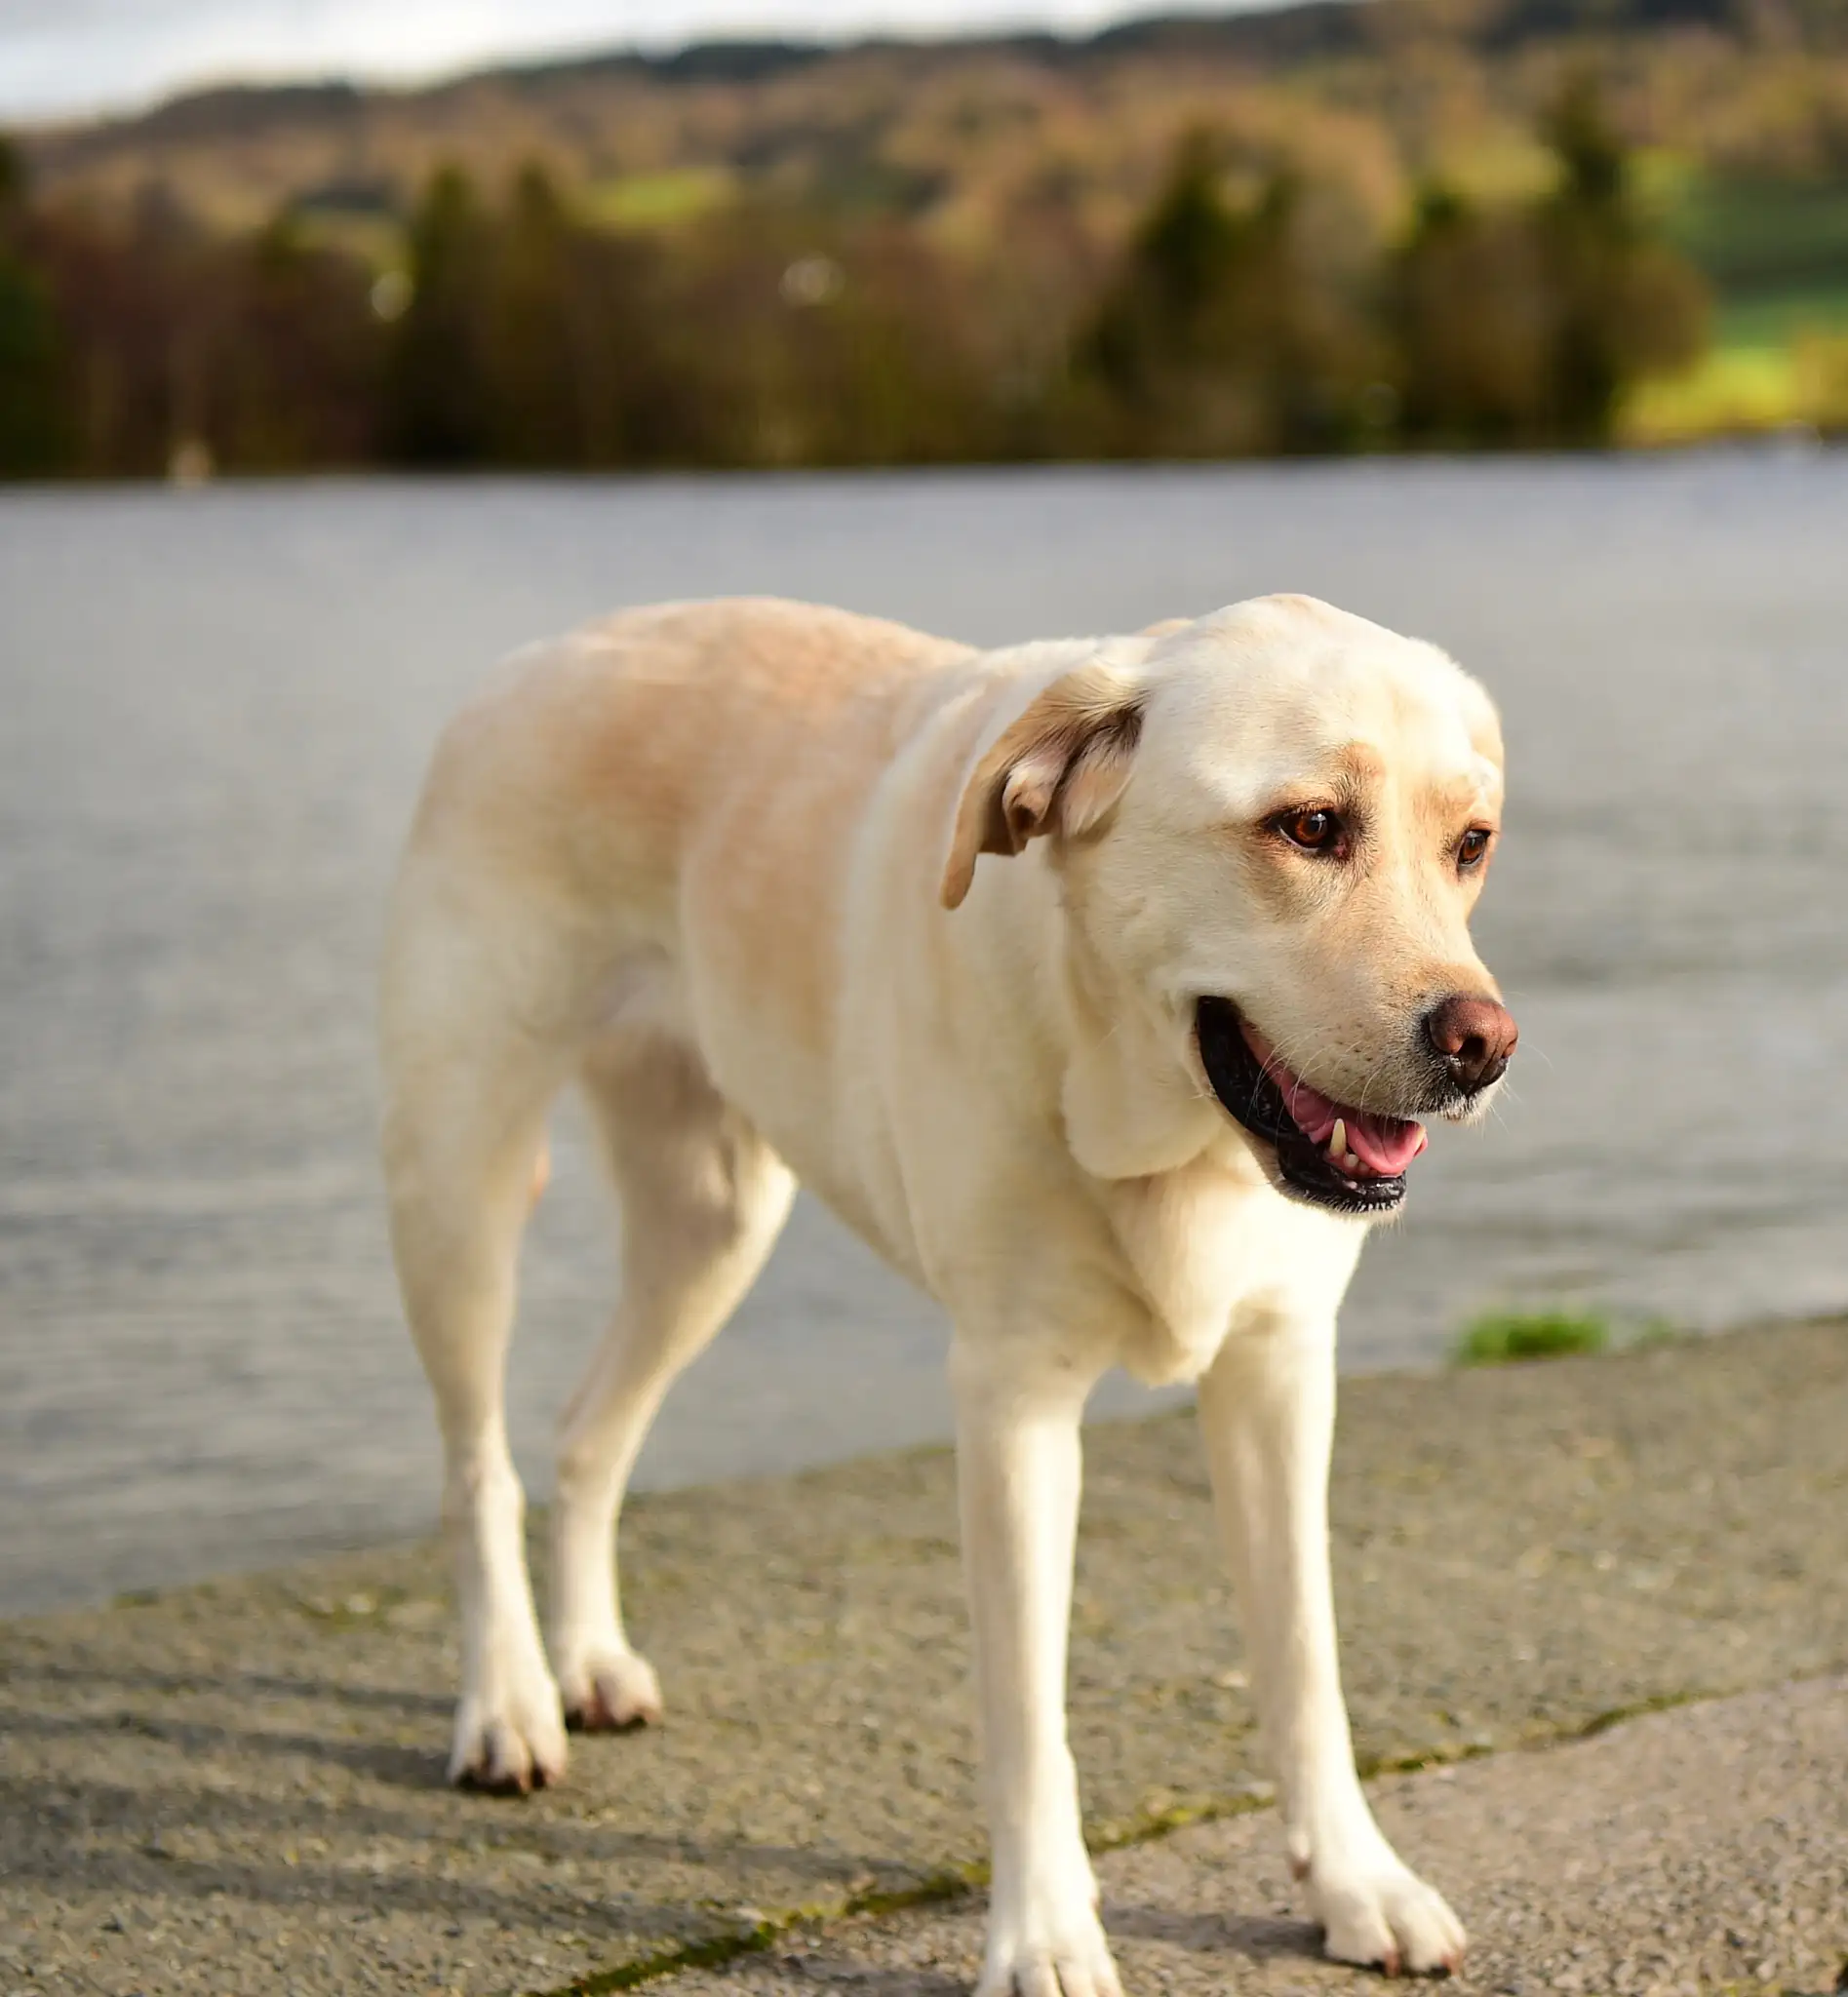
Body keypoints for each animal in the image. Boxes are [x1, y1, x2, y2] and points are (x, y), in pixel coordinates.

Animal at [375, 587, 1510, 1980]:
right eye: (1307, 826)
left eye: (1469, 843)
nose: (1480, 1044)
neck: (1151, 1113)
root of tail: (545, 653)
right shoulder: (1013, 1402)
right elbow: (1025, 1712)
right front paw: (1043, 1937)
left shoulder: (1280, 1366)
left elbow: (1304, 1659)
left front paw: (1355, 1882)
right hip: (460, 1177)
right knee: (476, 1466)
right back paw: (507, 1703)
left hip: (711, 1219)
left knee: (589, 1433)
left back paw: (588, 1659)